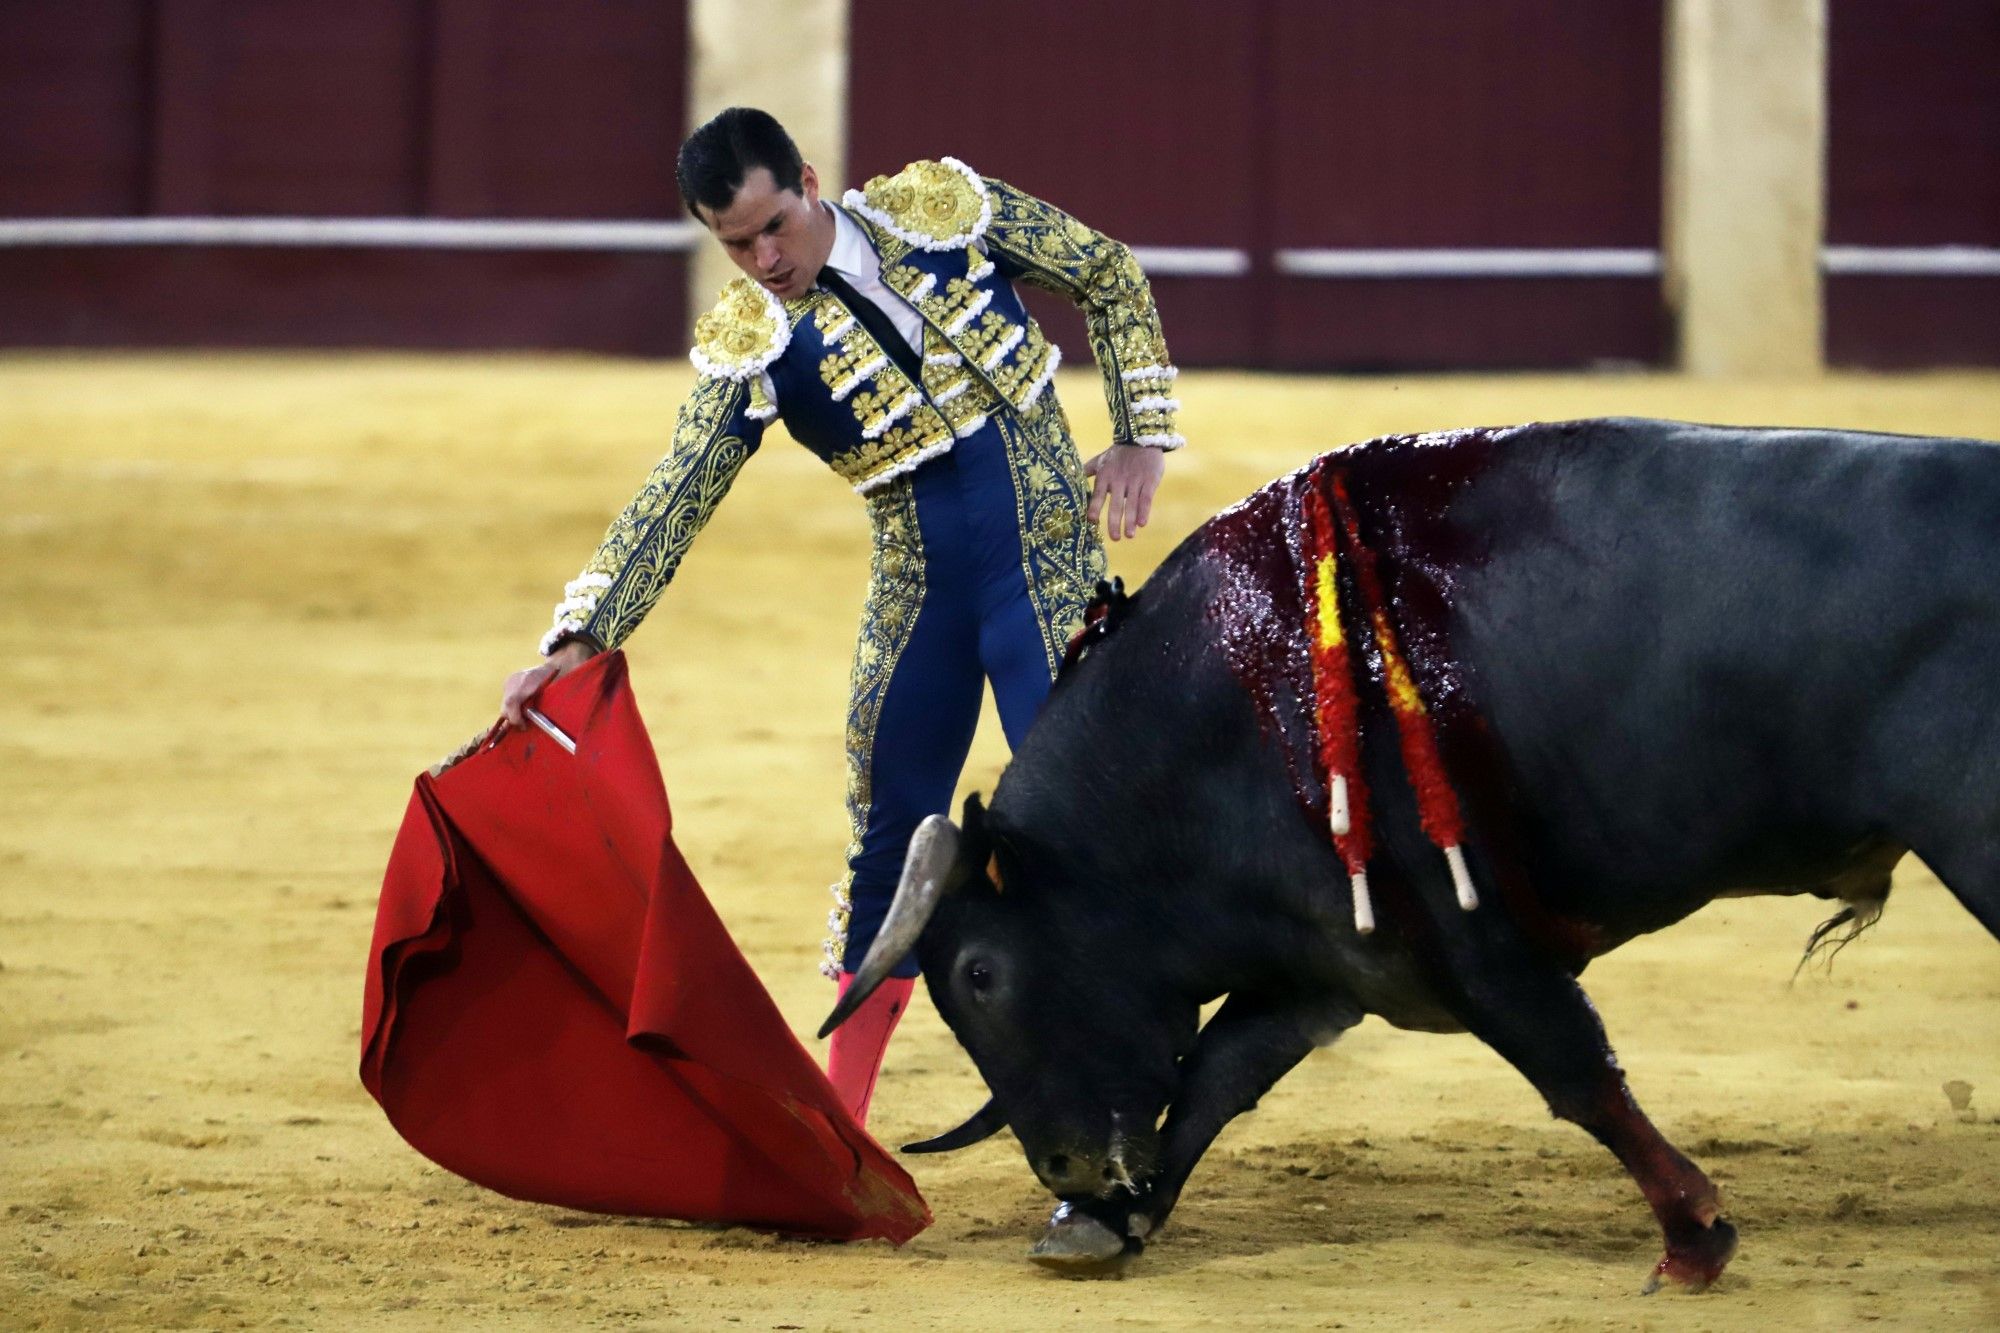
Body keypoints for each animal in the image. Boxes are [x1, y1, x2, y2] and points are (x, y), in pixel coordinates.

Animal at [816, 418, 2000, 1288]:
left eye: (979, 973)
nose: (1062, 1165)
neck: (1219, 714)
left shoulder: (1466, 934)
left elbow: (1576, 1071)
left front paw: (1694, 1239)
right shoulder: (1330, 962)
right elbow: (1213, 1077)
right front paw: (1108, 1225)